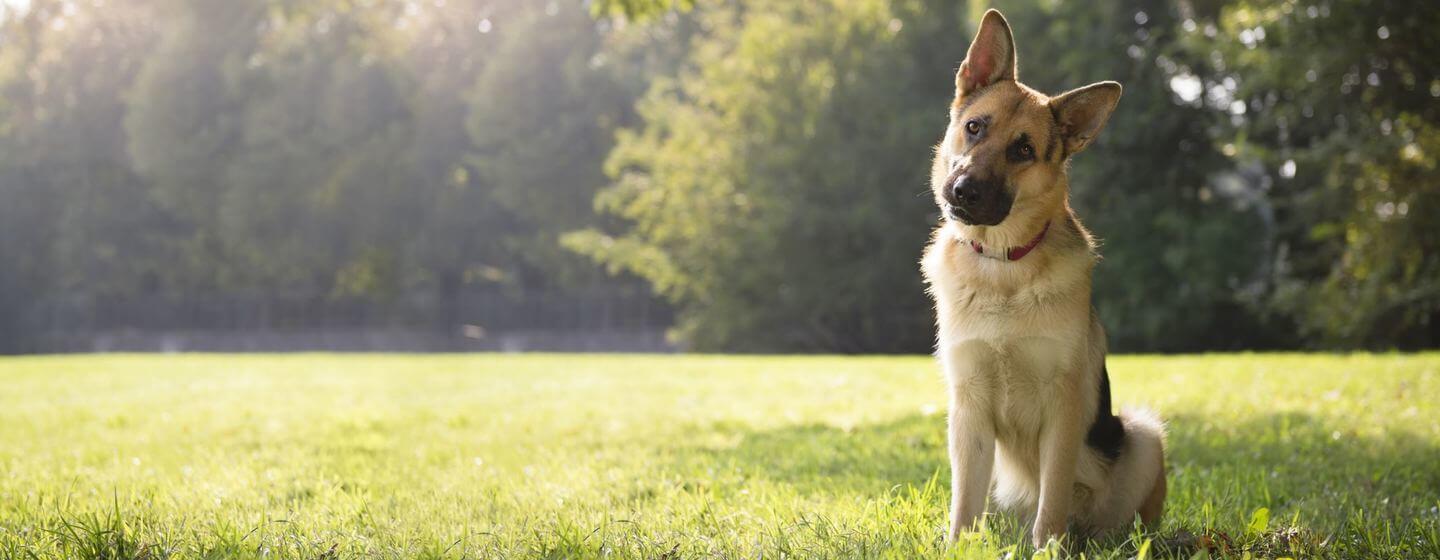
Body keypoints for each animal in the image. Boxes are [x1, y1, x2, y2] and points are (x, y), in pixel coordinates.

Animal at [921, 10, 1169, 547]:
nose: (963, 191)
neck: (1003, 266)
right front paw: (959, 548)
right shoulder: (968, 410)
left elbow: (1051, 500)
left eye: (1024, 150)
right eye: (974, 127)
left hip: (1142, 435)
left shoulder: (1063, 408)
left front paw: (1048, 550)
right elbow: (963, 505)